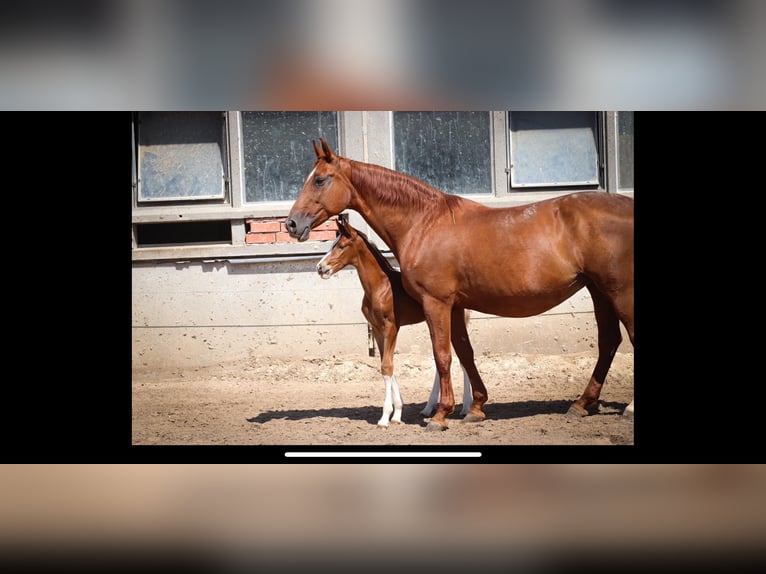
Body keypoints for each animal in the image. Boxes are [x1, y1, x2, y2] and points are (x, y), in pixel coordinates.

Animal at [316, 217, 472, 427]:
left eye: (341, 246)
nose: (320, 267)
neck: (380, 287)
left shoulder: (391, 327)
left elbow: (387, 366)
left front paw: (385, 417)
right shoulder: (377, 329)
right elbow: (387, 365)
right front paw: (397, 413)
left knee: (461, 359)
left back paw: (466, 407)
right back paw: (429, 407)